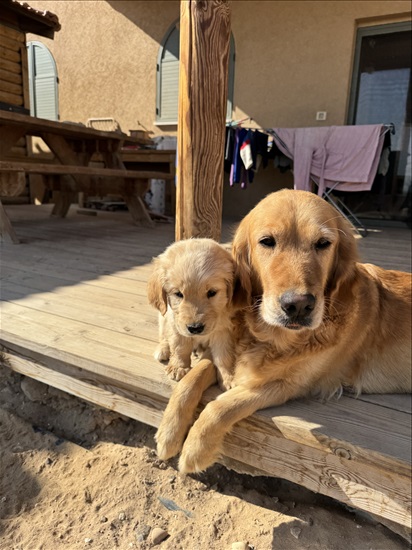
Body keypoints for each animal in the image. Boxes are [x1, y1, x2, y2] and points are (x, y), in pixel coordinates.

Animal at [148, 239, 238, 390]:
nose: (195, 328)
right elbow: (180, 346)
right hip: (162, 317)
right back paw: (163, 349)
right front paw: (179, 367)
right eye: (178, 294)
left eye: (212, 292)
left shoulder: (224, 330)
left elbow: (223, 355)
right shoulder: (176, 324)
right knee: (163, 336)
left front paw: (229, 378)